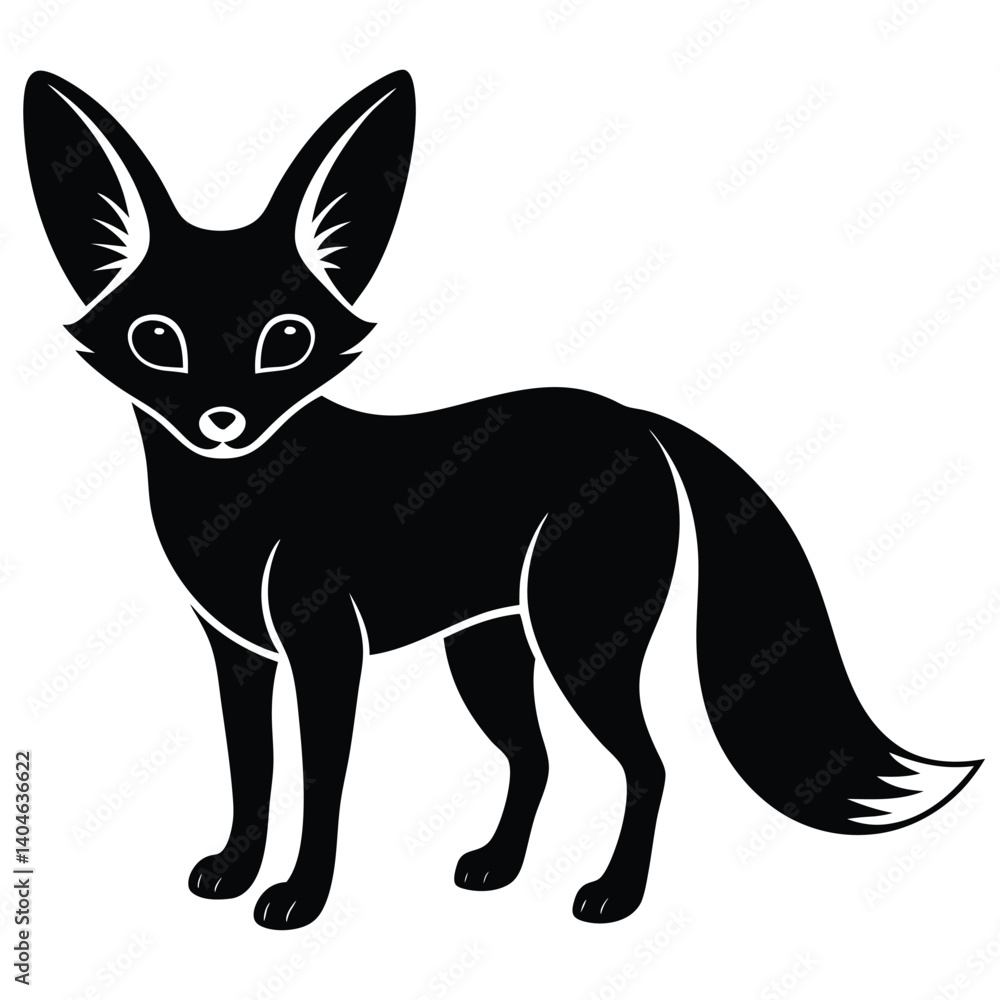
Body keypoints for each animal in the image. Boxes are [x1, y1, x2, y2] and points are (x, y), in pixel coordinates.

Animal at [23, 69, 981, 929]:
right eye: (157, 340)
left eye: (285, 340)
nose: (222, 422)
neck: (237, 510)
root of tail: (633, 419)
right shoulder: (238, 655)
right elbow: (249, 775)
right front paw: (233, 870)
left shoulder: (326, 651)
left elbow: (320, 783)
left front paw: (298, 898)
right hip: (486, 652)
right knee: (537, 759)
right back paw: (499, 868)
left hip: (579, 642)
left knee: (649, 765)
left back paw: (613, 896)